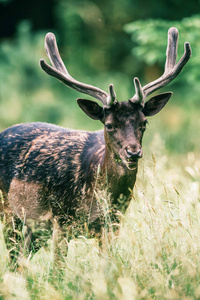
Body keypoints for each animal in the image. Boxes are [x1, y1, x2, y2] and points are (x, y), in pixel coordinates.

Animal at [0, 27, 191, 258]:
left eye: (144, 122)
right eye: (109, 125)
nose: (133, 152)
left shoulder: (113, 225)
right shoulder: (61, 220)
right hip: (9, 211)